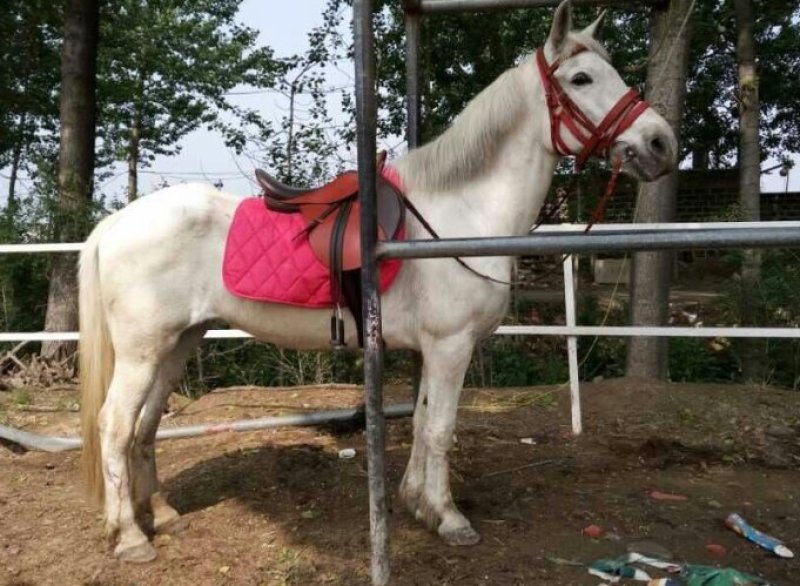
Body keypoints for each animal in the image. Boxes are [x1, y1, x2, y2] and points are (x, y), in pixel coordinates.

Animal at [79, 0, 677, 563]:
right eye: (581, 79)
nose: (662, 144)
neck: (459, 214)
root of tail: (113, 224)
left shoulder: (430, 350)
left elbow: (422, 419)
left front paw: (417, 503)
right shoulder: (451, 346)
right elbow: (440, 428)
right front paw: (449, 518)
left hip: (178, 343)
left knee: (145, 425)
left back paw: (161, 513)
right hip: (142, 350)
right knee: (115, 425)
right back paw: (130, 537)